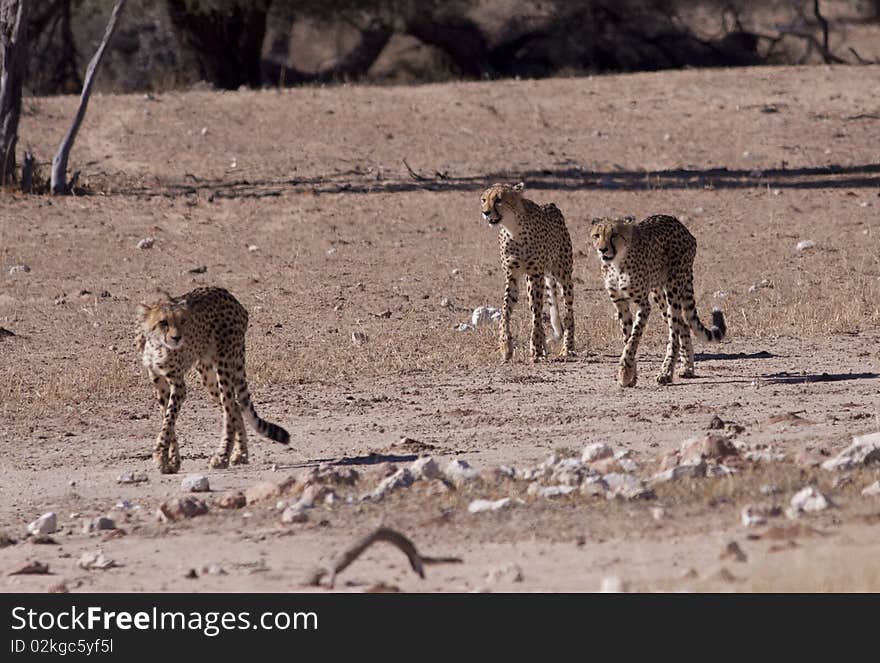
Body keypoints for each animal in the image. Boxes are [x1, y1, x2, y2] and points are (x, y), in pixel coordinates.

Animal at [136, 286, 290, 472]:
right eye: (163, 322)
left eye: (182, 321)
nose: (177, 338)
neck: (157, 345)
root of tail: (230, 296)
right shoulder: (159, 382)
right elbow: (168, 420)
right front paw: (171, 461)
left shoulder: (178, 385)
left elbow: (168, 420)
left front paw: (160, 455)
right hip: (206, 372)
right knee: (235, 407)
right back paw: (240, 455)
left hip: (225, 364)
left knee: (230, 407)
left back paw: (222, 457)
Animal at [482, 180, 576, 364]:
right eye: (484, 199)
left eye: (499, 200)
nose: (486, 212)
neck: (513, 228)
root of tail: (552, 205)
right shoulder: (512, 276)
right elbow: (505, 311)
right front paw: (505, 346)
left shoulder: (535, 275)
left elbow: (537, 314)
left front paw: (536, 348)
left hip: (563, 275)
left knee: (569, 313)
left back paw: (567, 348)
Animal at [588, 215, 724, 386]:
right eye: (597, 235)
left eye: (614, 235)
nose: (602, 249)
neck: (616, 264)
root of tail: (679, 224)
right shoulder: (620, 304)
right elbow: (627, 338)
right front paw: (631, 375)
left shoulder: (643, 305)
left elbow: (633, 339)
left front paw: (625, 371)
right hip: (659, 294)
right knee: (684, 326)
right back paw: (687, 368)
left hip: (673, 290)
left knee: (675, 335)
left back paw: (666, 373)